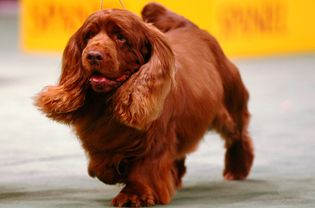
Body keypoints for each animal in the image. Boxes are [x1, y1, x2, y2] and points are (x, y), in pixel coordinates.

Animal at [35, 2, 256, 206]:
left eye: (120, 37)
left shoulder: (154, 141)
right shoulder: (98, 137)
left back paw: (236, 168)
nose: (93, 55)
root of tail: (191, 27)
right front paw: (115, 171)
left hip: (229, 106)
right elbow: (100, 165)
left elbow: (144, 169)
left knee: (238, 134)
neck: (110, 100)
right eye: (89, 36)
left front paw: (133, 195)